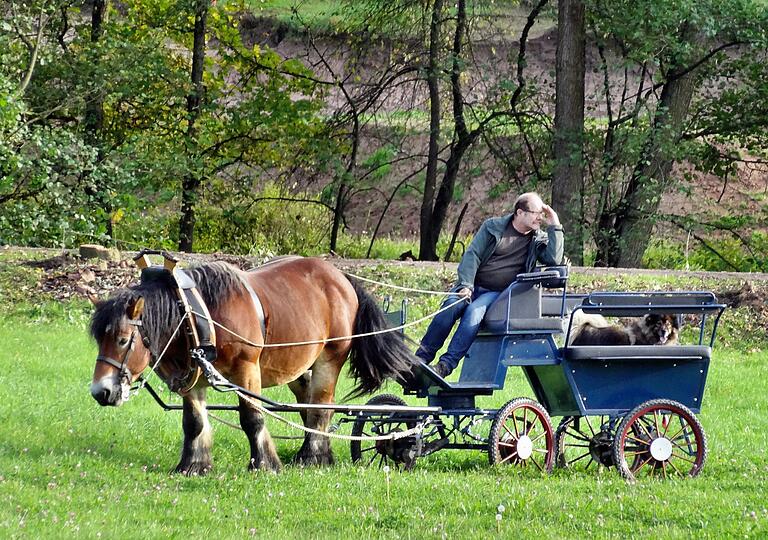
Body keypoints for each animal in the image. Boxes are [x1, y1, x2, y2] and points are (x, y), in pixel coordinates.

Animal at [89, 256, 414, 472]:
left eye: (122, 340)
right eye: (98, 340)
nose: (100, 391)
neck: (197, 314)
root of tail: (341, 277)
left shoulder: (246, 371)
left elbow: (252, 418)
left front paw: (264, 463)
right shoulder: (192, 378)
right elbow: (193, 422)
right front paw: (194, 465)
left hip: (329, 359)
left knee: (321, 407)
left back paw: (313, 456)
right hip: (295, 366)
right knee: (307, 405)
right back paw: (315, 451)